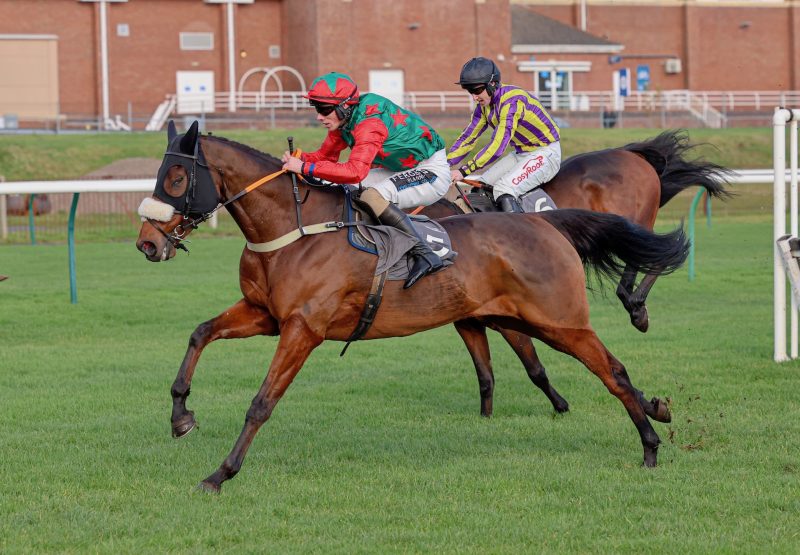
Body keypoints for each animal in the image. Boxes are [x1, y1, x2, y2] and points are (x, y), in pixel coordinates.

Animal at [136, 122, 688, 496]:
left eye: (178, 178)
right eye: (160, 174)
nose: (147, 243)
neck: (295, 230)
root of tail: (543, 223)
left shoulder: (303, 328)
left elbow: (260, 403)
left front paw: (220, 473)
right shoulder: (265, 314)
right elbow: (200, 333)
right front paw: (181, 416)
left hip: (559, 319)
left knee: (613, 372)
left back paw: (649, 445)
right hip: (524, 319)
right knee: (602, 367)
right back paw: (655, 412)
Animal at [424, 132, 732, 416]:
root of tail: (631, 154)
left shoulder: (509, 319)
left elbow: (534, 369)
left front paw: (562, 405)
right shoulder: (468, 323)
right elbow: (485, 376)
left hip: (633, 221)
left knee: (650, 257)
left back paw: (637, 310)